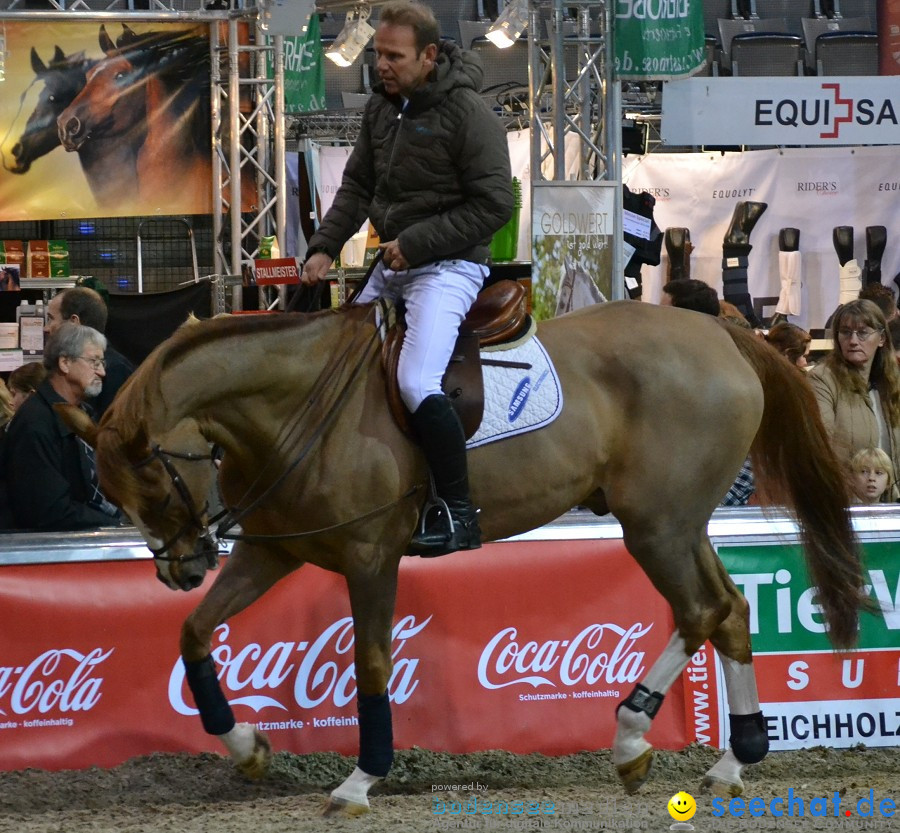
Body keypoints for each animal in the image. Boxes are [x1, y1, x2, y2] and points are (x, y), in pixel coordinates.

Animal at [61, 300, 864, 812]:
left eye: (156, 484)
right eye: (118, 494)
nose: (181, 570)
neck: (294, 403)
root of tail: (723, 334)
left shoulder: (370, 555)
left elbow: (372, 663)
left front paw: (361, 779)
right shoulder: (270, 553)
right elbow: (194, 634)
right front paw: (247, 747)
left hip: (658, 527)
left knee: (701, 609)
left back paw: (637, 738)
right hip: (676, 523)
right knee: (726, 610)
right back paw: (723, 759)